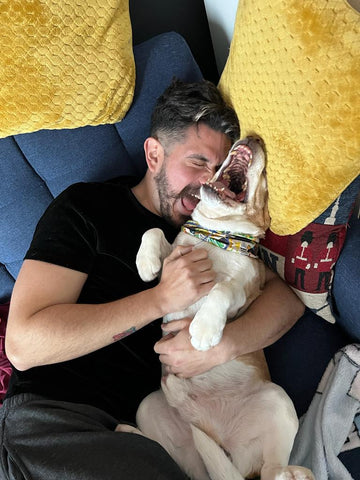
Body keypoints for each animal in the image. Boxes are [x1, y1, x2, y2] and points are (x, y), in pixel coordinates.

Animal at [134, 137, 314, 478]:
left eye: (265, 178)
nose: (253, 138)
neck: (215, 236)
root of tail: (222, 438)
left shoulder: (247, 286)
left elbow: (222, 288)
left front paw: (204, 330)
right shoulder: (174, 257)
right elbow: (154, 233)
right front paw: (147, 262)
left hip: (278, 401)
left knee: (273, 471)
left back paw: (292, 472)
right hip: (149, 410)